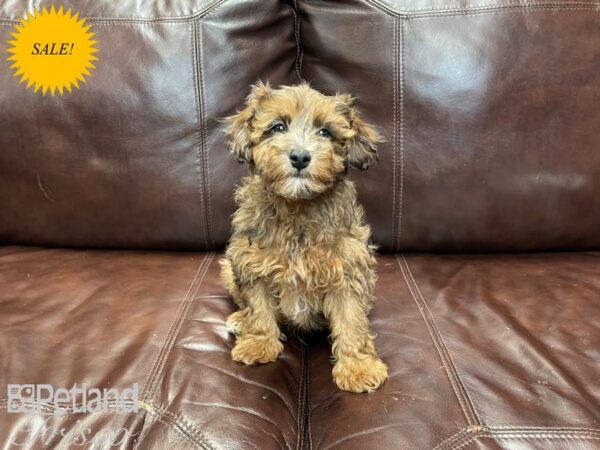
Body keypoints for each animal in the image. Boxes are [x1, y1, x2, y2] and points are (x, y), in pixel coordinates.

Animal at [220, 82, 390, 392]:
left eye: (325, 132)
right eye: (277, 127)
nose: (300, 157)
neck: (297, 206)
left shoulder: (348, 269)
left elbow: (352, 321)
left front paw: (358, 368)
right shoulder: (251, 263)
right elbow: (258, 308)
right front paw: (258, 344)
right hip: (227, 268)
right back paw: (240, 319)